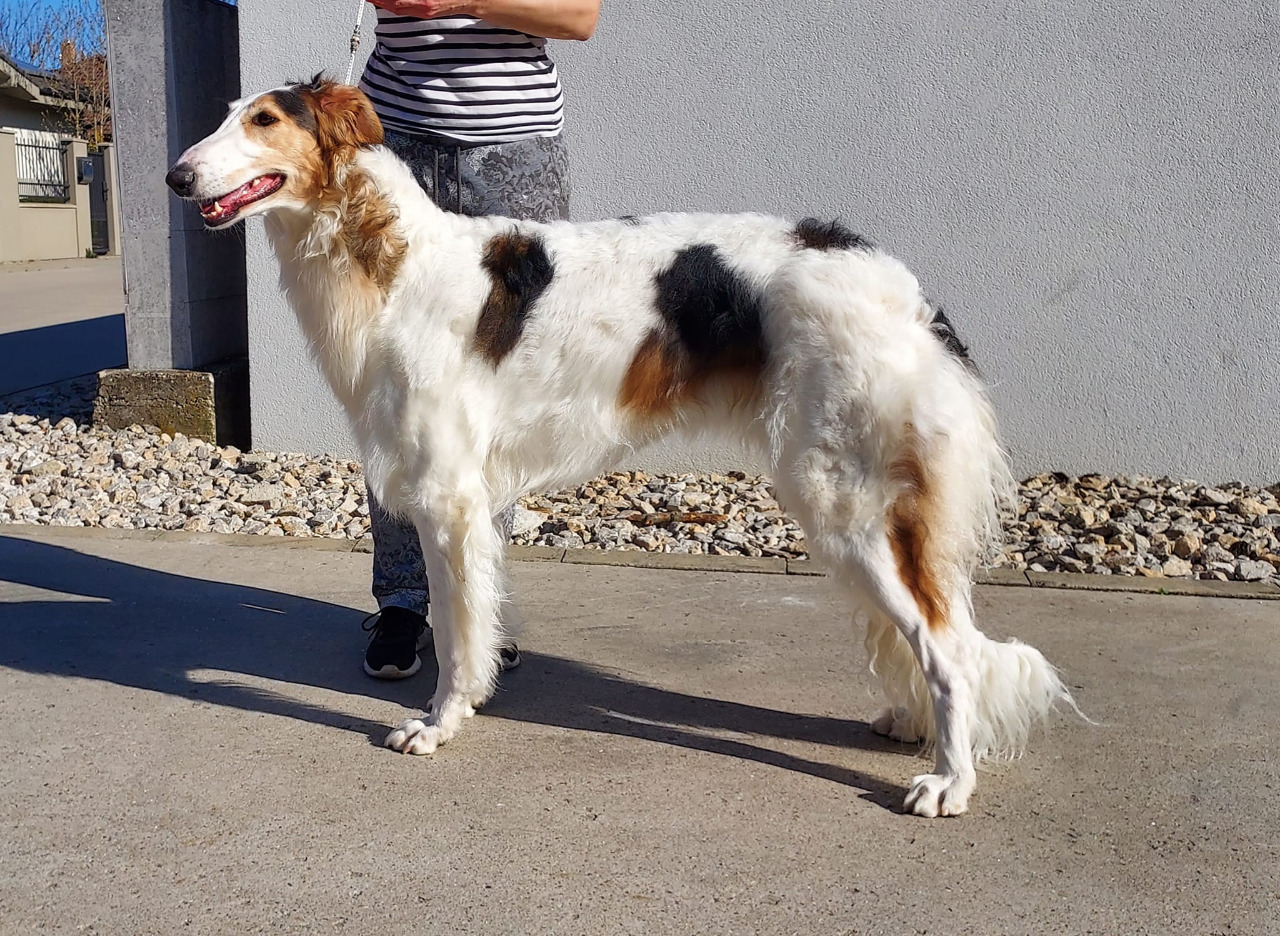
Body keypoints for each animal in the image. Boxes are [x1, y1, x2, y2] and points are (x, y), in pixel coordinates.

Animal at [167, 77, 1076, 817]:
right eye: (226, 114)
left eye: (264, 119)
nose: (177, 177)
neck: (393, 261)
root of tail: (903, 284)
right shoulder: (458, 500)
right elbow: (476, 619)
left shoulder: (449, 499)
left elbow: (457, 636)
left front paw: (438, 724)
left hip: (844, 499)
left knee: (949, 649)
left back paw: (949, 781)